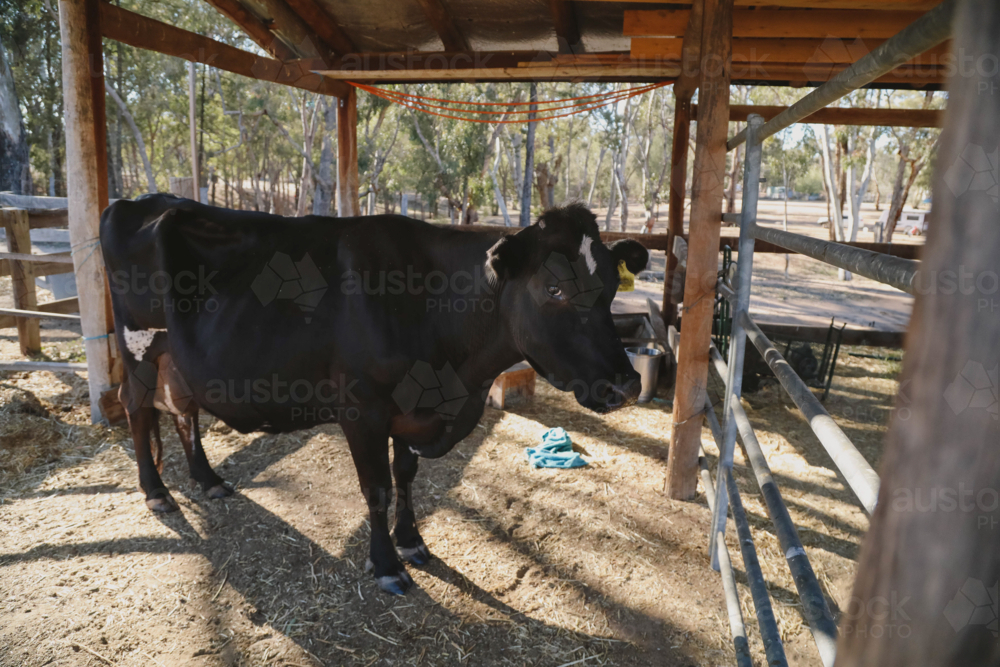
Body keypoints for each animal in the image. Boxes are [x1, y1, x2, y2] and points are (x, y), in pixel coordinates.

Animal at [100, 195, 649, 594]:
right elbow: (378, 488)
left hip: (179, 359)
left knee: (183, 409)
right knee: (136, 408)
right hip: (139, 346)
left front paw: (412, 542)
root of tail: (136, 200)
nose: (627, 384)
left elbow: (405, 475)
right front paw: (386, 564)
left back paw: (208, 479)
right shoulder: (362, 410)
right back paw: (156, 492)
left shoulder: (413, 408)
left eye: (609, 288)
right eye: (555, 290)